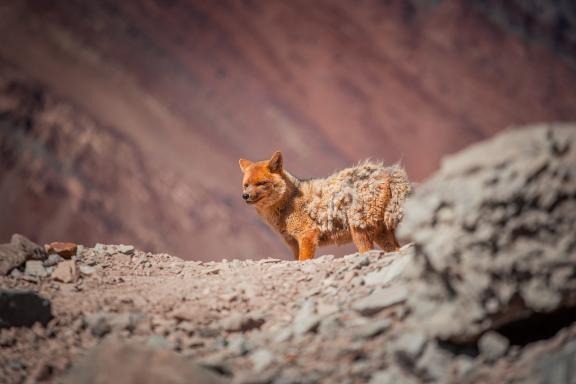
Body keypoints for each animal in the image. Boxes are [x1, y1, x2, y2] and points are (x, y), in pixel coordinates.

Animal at [240, 150, 414, 260]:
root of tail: (389, 172)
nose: (245, 196)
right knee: (396, 250)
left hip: (359, 232)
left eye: (261, 183)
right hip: (381, 234)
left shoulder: (307, 236)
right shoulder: (293, 244)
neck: (289, 202)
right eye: (245, 185)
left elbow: (304, 261)